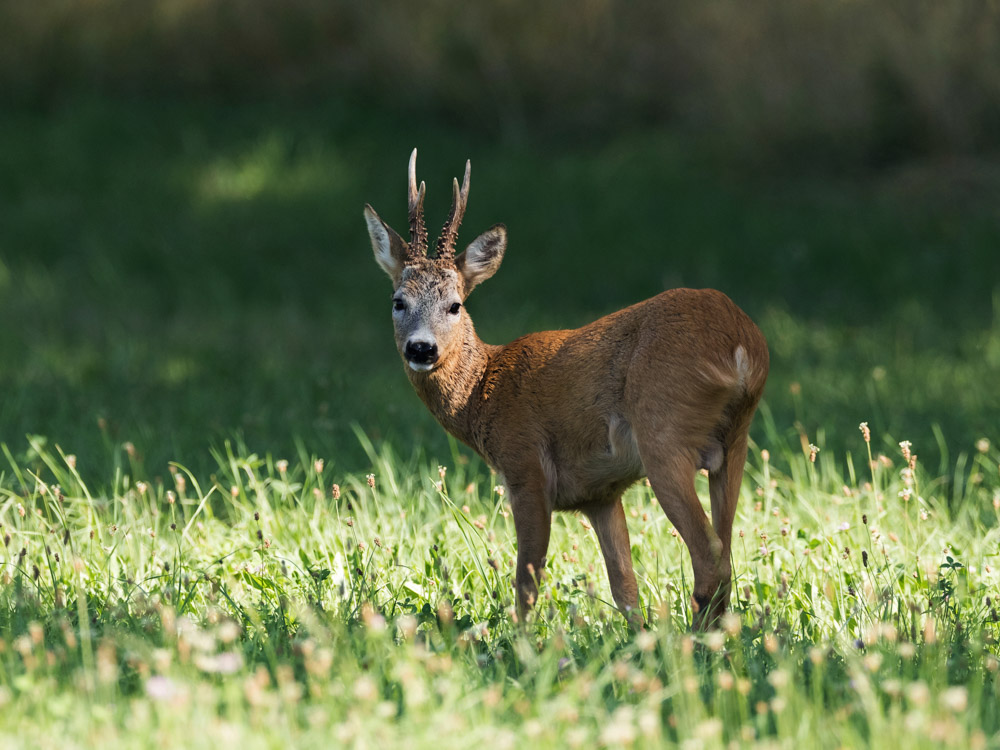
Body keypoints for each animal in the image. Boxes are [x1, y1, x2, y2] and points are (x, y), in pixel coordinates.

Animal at [363, 150, 768, 629]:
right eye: (398, 302)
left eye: (455, 305)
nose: (422, 348)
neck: (484, 390)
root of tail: (741, 345)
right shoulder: (600, 495)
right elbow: (625, 587)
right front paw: (639, 638)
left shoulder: (525, 467)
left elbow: (527, 579)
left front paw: (516, 642)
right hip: (735, 440)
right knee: (726, 552)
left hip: (664, 433)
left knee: (709, 555)